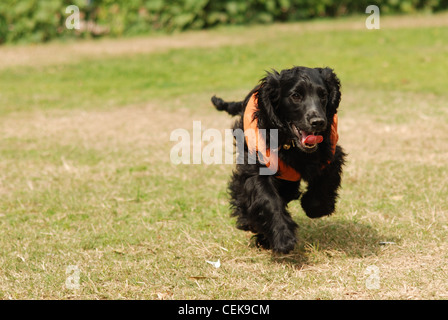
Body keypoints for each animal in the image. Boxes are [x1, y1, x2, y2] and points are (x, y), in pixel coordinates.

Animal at [211, 66, 346, 254]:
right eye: (296, 95)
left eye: (323, 95)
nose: (318, 122)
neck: (291, 145)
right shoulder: (257, 168)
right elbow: (268, 199)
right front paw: (283, 237)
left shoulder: (331, 155)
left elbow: (323, 187)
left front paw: (313, 206)